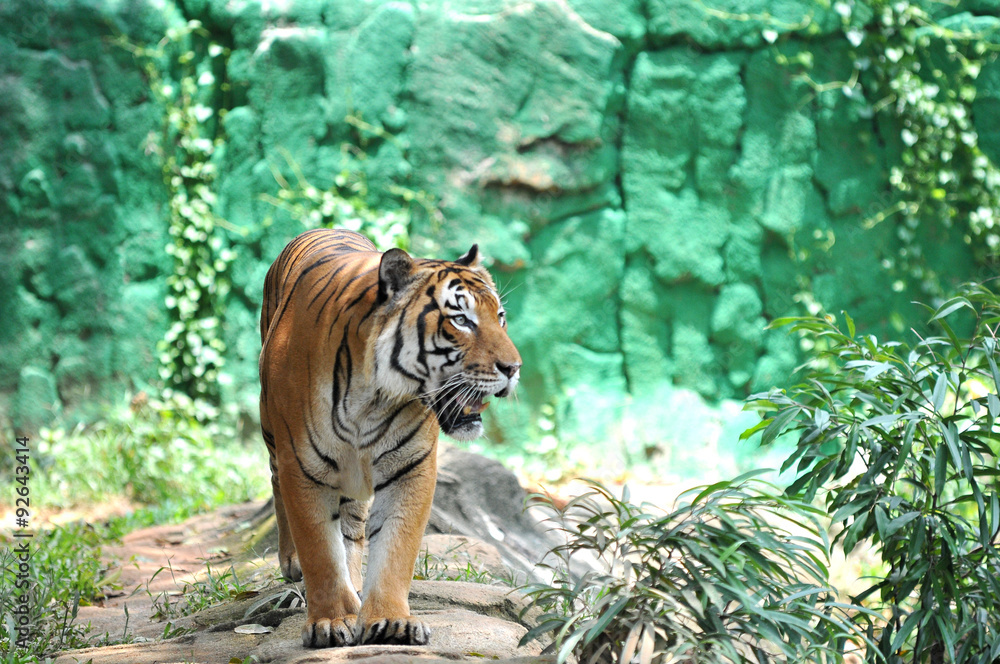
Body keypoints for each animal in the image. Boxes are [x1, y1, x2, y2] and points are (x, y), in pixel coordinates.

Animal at [258, 228, 524, 648]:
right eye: (461, 320)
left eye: (500, 317)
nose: (514, 368)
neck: (373, 397)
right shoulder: (302, 468)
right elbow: (320, 551)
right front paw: (332, 621)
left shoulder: (410, 468)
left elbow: (395, 548)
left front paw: (389, 620)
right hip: (272, 431)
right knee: (276, 486)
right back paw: (294, 563)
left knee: (350, 529)